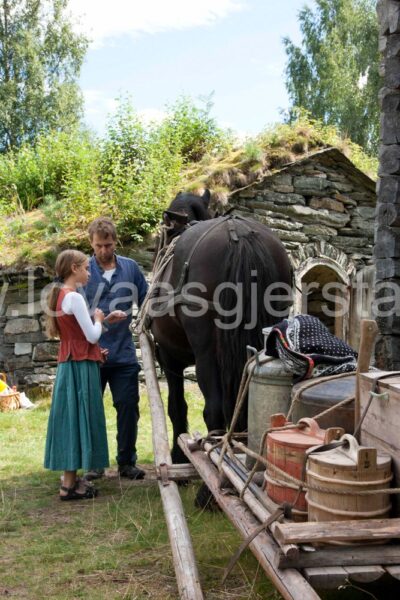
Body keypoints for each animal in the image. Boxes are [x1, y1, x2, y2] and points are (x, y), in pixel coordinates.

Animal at [148, 190, 292, 462]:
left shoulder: (169, 356)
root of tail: (240, 234)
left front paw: (178, 454)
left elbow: (177, 407)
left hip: (207, 354)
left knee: (213, 409)